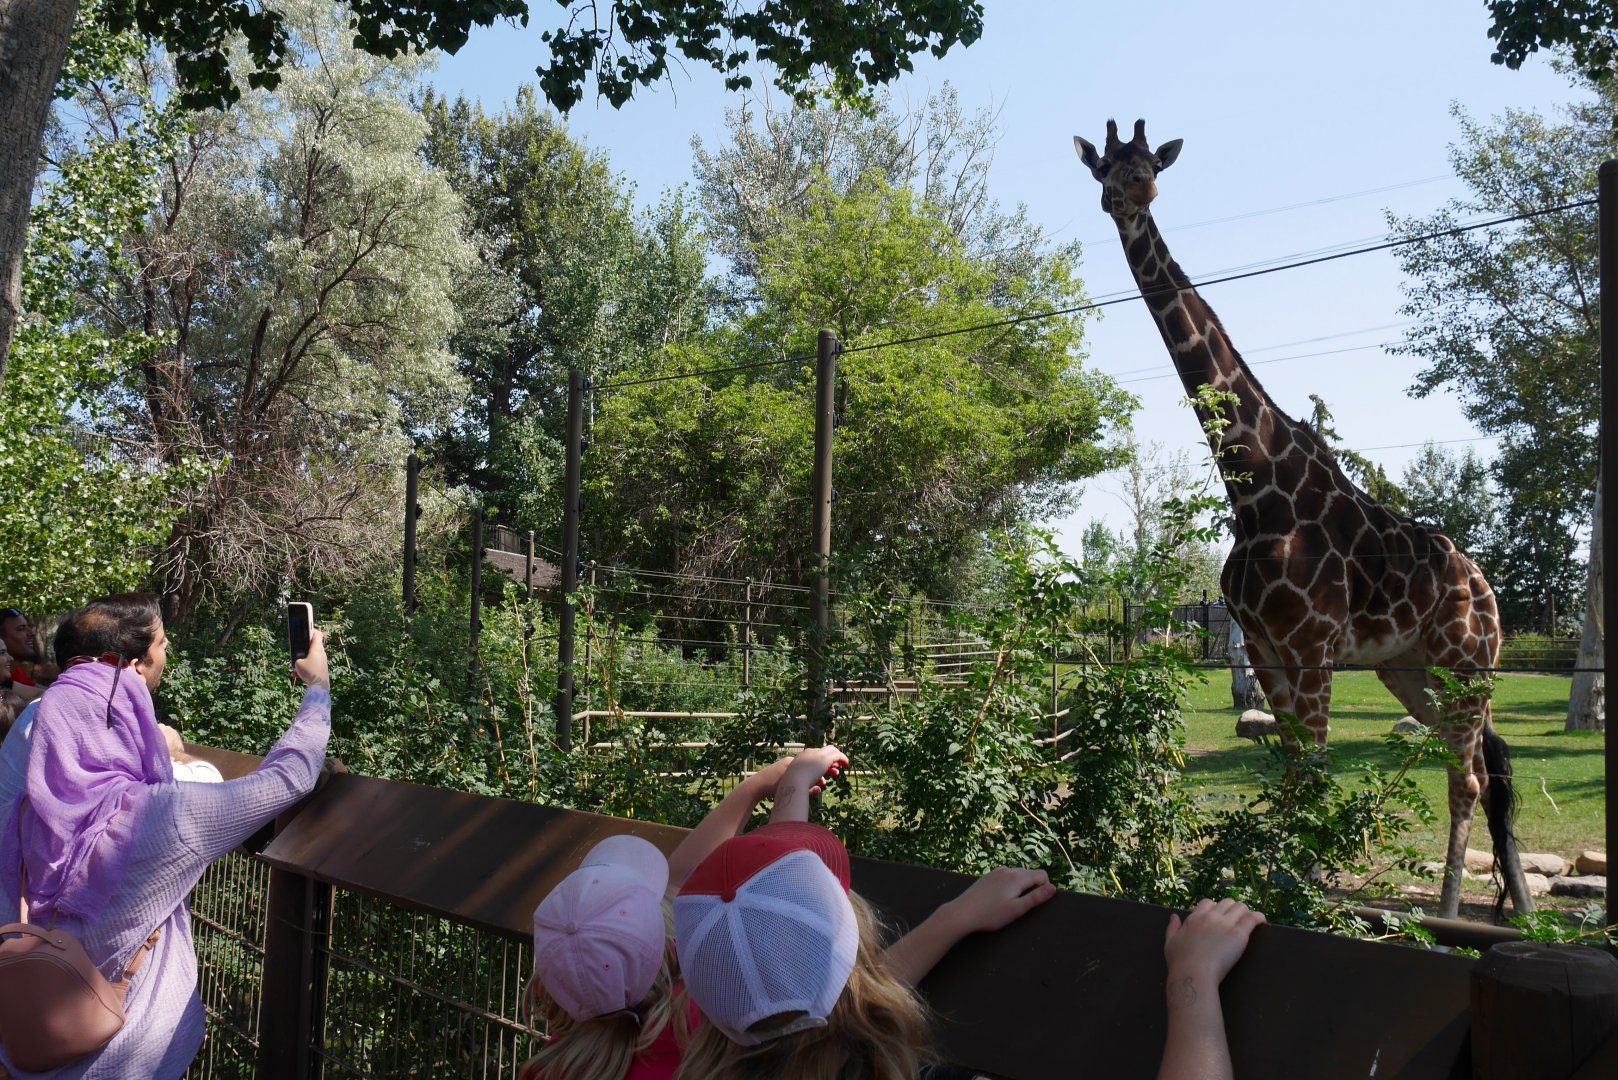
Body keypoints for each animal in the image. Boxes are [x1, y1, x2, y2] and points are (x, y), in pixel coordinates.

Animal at [1074, 119, 1533, 921]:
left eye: (1147, 166)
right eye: (1102, 168)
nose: (1123, 200)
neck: (1257, 489)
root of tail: (1485, 589)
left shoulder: (1313, 645)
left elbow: (1314, 770)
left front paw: (1305, 894)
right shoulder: (1264, 646)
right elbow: (1292, 769)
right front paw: (1277, 886)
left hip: (1467, 664)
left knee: (1468, 774)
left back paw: (1448, 916)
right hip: (1407, 670)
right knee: (1474, 763)